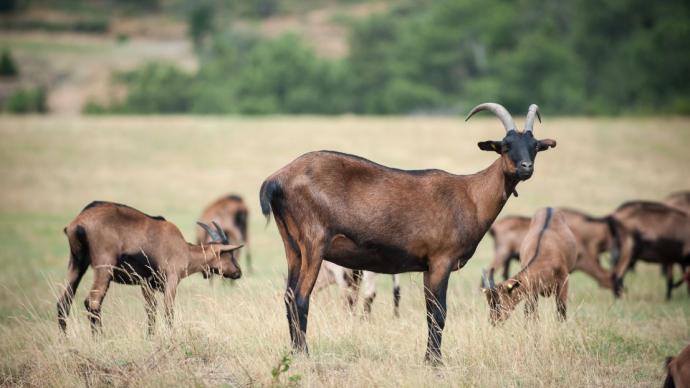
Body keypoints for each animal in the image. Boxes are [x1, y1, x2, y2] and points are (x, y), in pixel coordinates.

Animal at [57, 200, 243, 334]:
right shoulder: (171, 280)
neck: (184, 249)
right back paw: (100, 339)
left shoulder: (146, 285)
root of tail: (79, 223)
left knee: (63, 302)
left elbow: (151, 310)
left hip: (77, 264)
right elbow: (168, 311)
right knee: (93, 302)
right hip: (104, 268)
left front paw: (150, 337)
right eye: (229, 253)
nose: (238, 272)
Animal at [260, 102, 556, 364]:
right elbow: (439, 313)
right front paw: (435, 363)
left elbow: (430, 313)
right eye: (505, 146)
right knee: (300, 297)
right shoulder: (441, 260)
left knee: (288, 297)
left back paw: (294, 353)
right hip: (313, 243)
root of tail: (275, 180)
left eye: (534, 146)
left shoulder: (427, 266)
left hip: (293, 247)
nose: (526, 167)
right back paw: (304, 356)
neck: (471, 196)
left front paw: (430, 359)